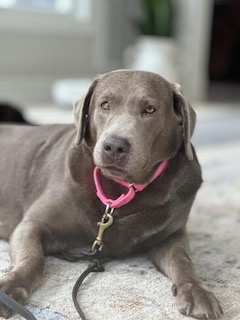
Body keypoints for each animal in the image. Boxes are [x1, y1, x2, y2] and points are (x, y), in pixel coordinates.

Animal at [0, 69, 223, 318]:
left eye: (150, 109)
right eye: (104, 105)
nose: (114, 146)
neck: (120, 189)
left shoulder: (170, 236)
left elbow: (183, 260)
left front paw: (197, 291)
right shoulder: (31, 225)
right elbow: (34, 258)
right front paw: (10, 288)